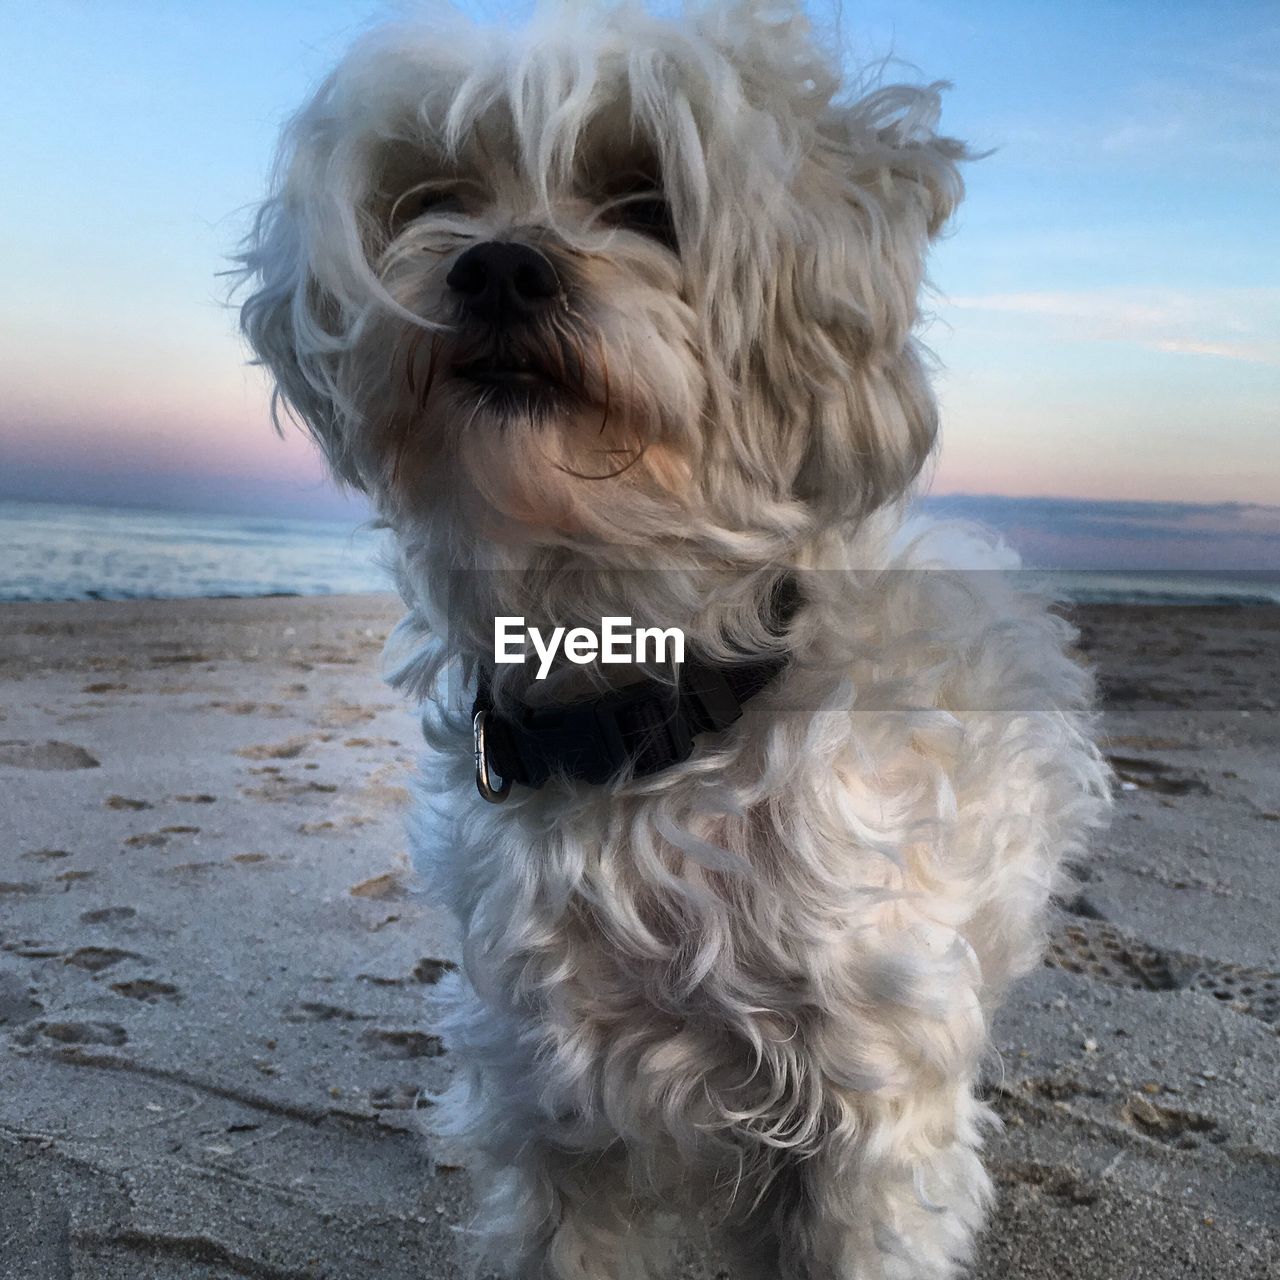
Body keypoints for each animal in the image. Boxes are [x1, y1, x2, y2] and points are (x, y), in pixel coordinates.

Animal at [238, 5, 1111, 1274]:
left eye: (646, 200)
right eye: (433, 196)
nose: (496, 264)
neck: (652, 722)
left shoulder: (869, 1115)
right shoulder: (549, 1096)